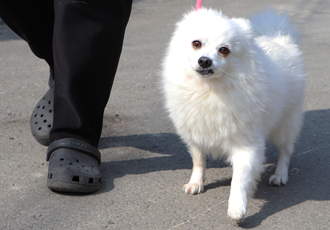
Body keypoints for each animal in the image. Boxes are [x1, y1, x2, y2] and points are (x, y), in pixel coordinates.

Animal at [161, 8, 306, 221]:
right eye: (196, 44)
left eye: (224, 50)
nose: (204, 60)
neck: (210, 90)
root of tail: (279, 38)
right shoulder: (196, 133)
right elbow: (198, 160)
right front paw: (196, 183)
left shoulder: (246, 144)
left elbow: (239, 179)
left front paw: (237, 207)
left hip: (285, 123)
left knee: (285, 151)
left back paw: (280, 175)